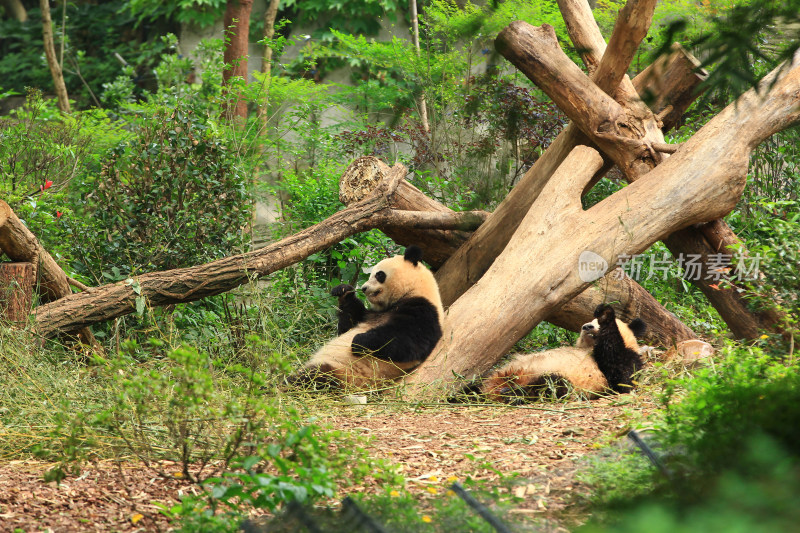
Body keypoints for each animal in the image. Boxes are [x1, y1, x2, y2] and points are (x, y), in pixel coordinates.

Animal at [290, 246, 446, 390]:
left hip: (343, 373)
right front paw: (343, 291)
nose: (364, 288)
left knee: (314, 378)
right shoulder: (370, 314)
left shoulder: (425, 311)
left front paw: (358, 341)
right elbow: (348, 324)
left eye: (379, 275)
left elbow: (407, 342)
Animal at [482, 304, 644, 404]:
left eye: (596, 322)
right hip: (499, 373)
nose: (587, 326)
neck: (589, 348)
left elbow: (622, 380)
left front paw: (605, 314)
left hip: (561, 381)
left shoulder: (626, 359)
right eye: (589, 321)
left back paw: (510, 393)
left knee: (549, 385)